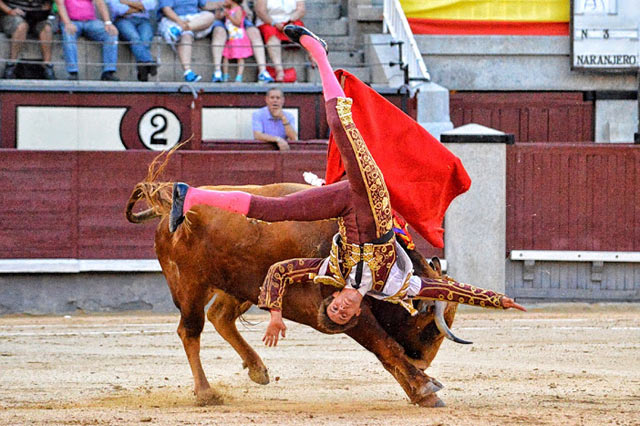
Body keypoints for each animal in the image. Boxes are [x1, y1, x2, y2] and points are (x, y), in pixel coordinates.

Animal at [126, 162, 460, 406]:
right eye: (431, 329)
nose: (423, 363)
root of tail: (166, 213)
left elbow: (387, 351)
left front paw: (421, 390)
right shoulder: (347, 313)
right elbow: (386, 346)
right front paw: (424, 387)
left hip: (241, 284)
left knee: (219, 315)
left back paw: (257, 369)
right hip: (190, 284)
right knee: (190, 330)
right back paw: (206, 392)